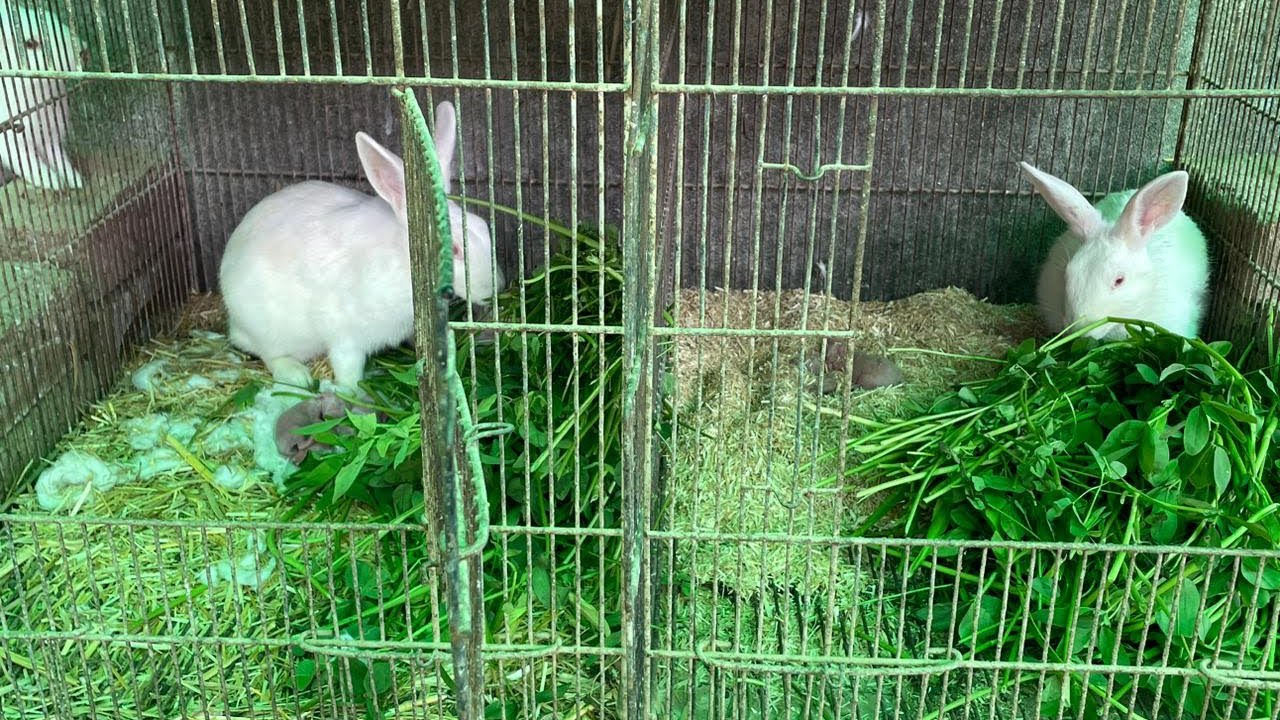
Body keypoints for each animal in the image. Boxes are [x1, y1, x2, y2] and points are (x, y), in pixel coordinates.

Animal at [0, 1, 86, 191]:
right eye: (30, 43)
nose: (84, 51)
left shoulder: (52, 134)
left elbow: (59, 158)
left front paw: (76, 181)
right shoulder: (11, 141)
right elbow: (29, 164)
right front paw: (54, 183)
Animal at [219, 103, 504, 391]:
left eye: (484, 226)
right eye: (455, 250)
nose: (498, 287)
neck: (405, 262)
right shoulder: (345, 334)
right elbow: (347, 368)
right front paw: (353, 391)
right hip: (271, 328)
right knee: (270, 354)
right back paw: (297, 375)